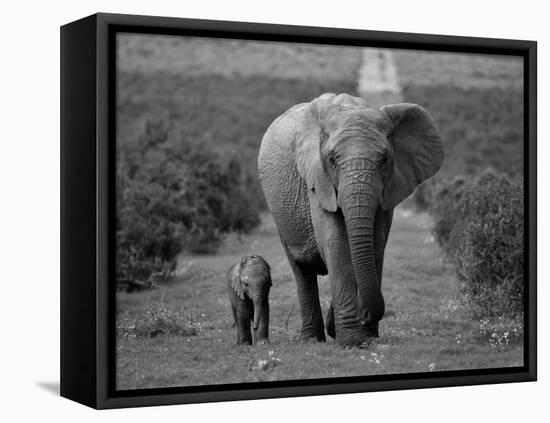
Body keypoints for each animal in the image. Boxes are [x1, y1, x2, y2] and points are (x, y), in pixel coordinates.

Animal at [258, 93, 444, 348]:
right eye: (332, 161)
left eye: (385, 159)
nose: (364, 314)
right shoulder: (318, 182)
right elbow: (335, 243)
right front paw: (352, 342)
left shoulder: (388, 189)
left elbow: (376, 245)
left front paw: (366, 336)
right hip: (280, 213)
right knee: (302, 271)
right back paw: (312, 339)